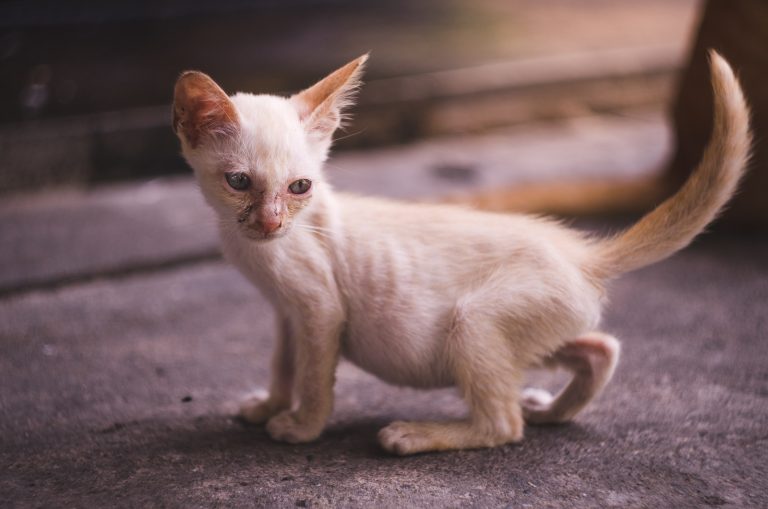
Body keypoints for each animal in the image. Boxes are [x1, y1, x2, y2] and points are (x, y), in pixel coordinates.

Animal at [172, 53, 752, 454]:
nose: (271, 223)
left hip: (471, 321)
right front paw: (269, 404)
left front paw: (301, 425)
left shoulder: (319, 309)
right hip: (530, 330)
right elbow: (283, 363)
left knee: (504, 425)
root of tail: (581, 255)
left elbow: (314, 378)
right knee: (599, 347)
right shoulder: (287, 313)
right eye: (239, 182)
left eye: (299, 187)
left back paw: (415, 435)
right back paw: (552, 410)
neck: (259, 250)